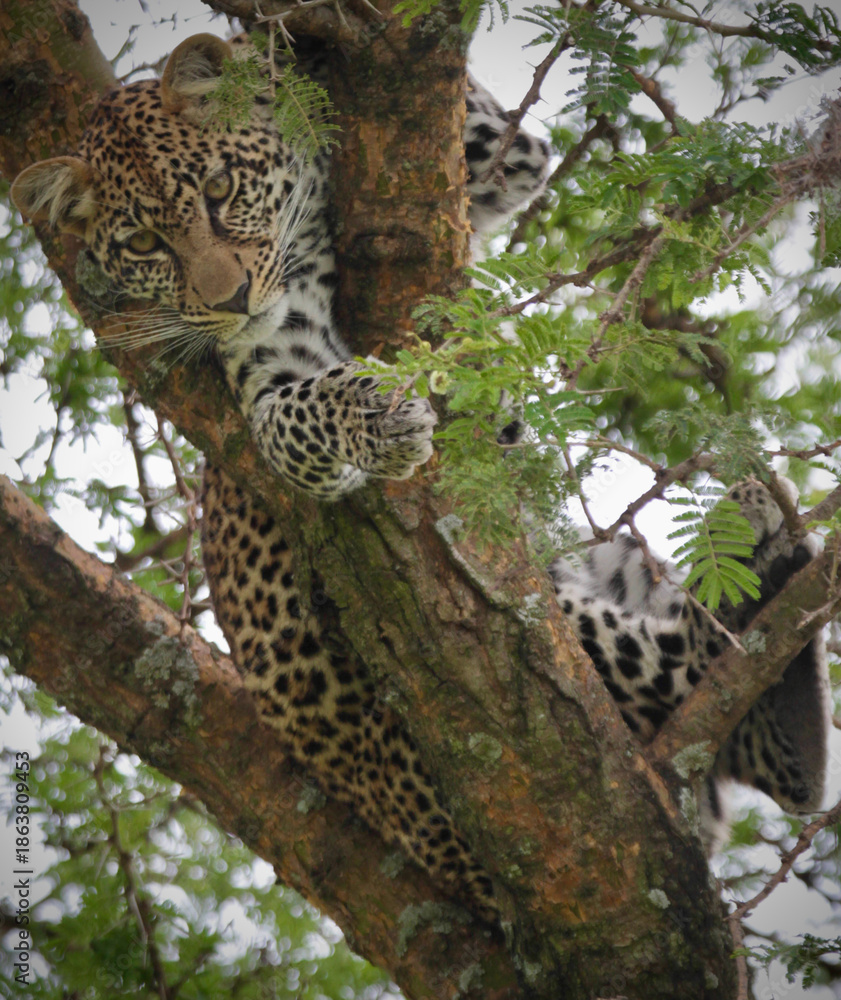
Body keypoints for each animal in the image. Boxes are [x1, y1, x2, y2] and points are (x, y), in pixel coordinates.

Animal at [12, 31, 830, 922]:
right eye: (141, 247)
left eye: (220, 190)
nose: (227, 299)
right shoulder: (267, 372)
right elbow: (289, 422)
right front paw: (373, 417)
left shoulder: (501, 166)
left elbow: (498, 140)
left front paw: (277, 58)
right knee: (696, 680)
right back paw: (759, 567)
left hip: (602, 560)